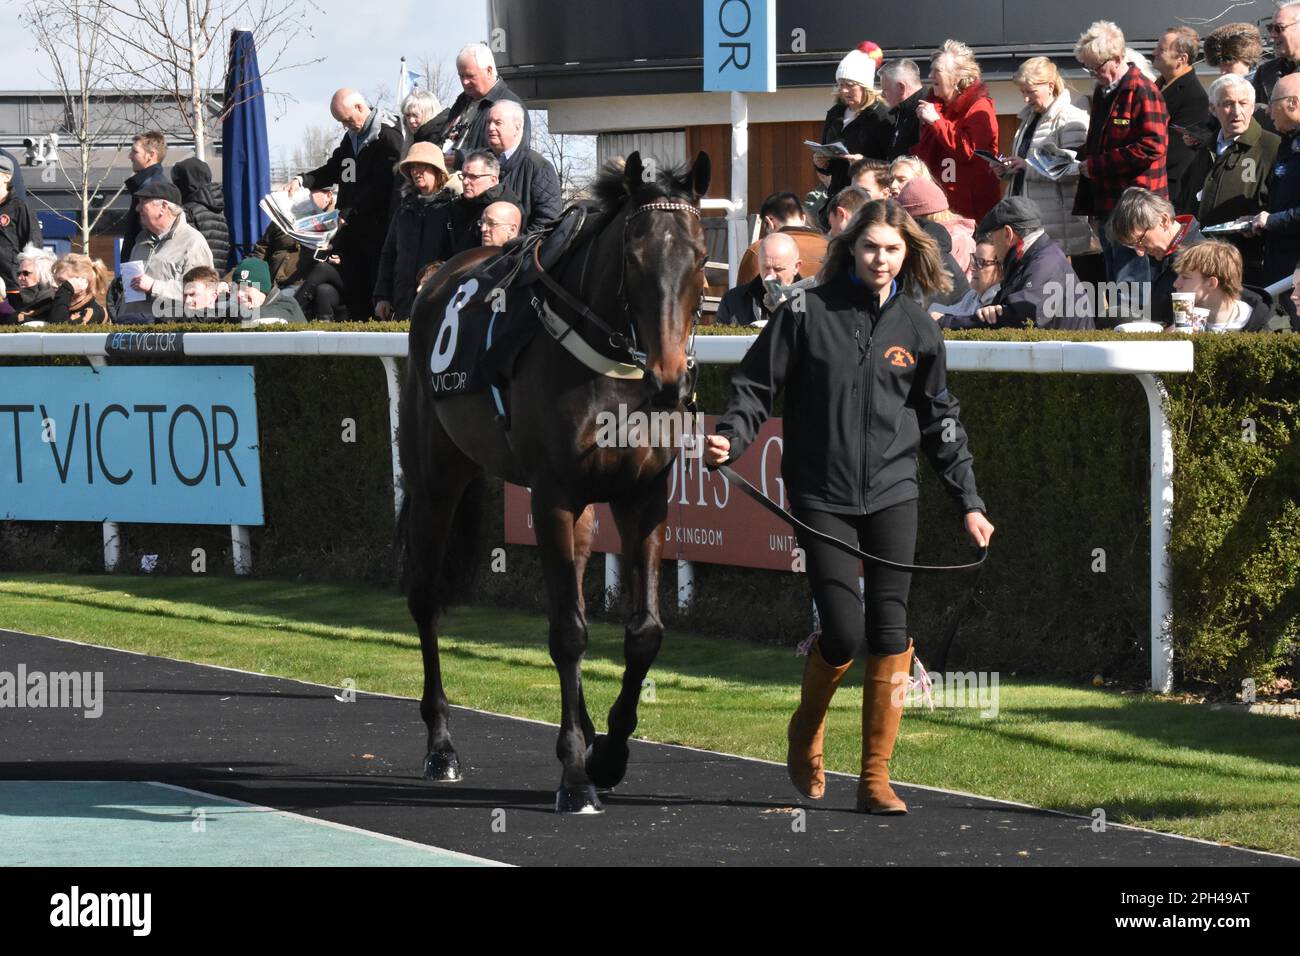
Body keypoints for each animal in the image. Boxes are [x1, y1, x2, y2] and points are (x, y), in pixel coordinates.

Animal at [403, 151, 717, 816]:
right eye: (635, 258)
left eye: (701, 259)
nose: (671, 381)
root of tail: (440, 277)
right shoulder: (552, 497)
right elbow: (569, 634)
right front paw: (575, 776)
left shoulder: (642, 497)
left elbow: (644, 634)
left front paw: (609, 754)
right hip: (435, 483)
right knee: (426, 600)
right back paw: (441, 746)